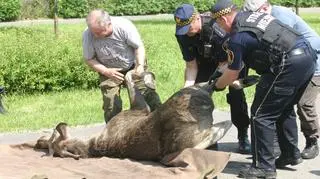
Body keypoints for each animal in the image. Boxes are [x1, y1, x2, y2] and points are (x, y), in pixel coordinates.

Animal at [35, 70, 234, 161]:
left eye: (50, 138)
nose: (39, 141)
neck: (89, 146)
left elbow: (129, 76)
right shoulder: (140, 107)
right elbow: (129, 76)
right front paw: (146, 78)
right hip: (194, 100)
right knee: (219, 123)